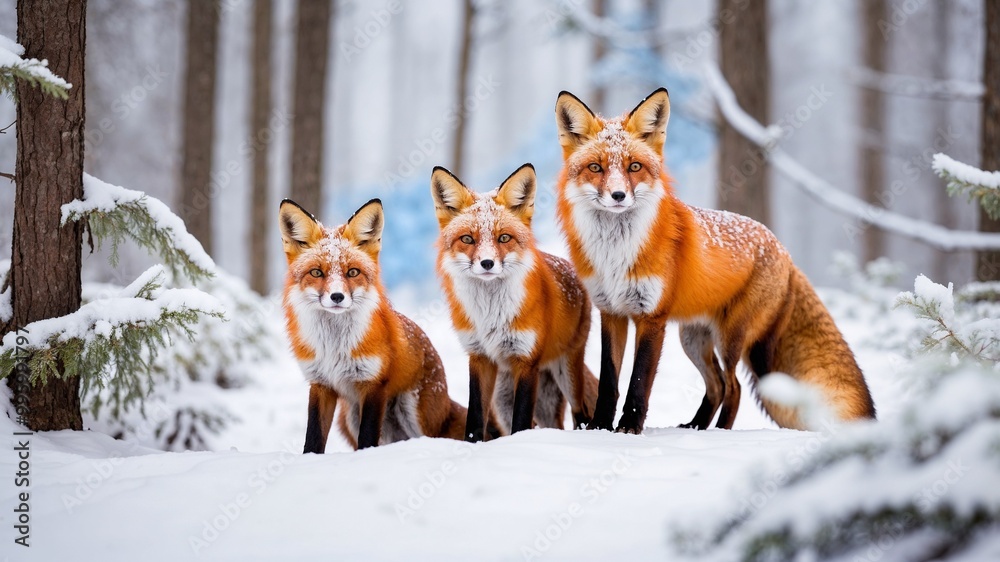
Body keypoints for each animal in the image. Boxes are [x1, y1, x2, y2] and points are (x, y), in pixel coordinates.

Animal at [280, 198, 470, 452]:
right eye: (317, 272)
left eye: (352, 272)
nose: (337, 296)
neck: (334, 346)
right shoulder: (321, 384)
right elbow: (313, 438)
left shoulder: (373, 384)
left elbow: (367, 439)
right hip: (350, 417)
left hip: (414, 414)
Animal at [432, 163, 599, 441]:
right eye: (467, 239)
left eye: (503, 238)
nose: (487, 263)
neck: (490, 313)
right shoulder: (479, 357)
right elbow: (475, 419)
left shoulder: (526, 360)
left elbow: (521, 422)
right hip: (504, 399)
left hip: (567, 370)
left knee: (582, 415)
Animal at [553, 88, 876, 433]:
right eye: (596, 168)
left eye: (634, 166)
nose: (618, 196)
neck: (616, 253)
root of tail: (784, 251)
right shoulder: (611, 312)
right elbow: (609, 381)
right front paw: (600, 427)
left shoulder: (651, 317)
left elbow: (639, 382)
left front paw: (628, 427)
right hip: (693, 338)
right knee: (717, 385)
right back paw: (695, 426)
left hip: (731, 337)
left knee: (734, 387)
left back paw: (719, 431)